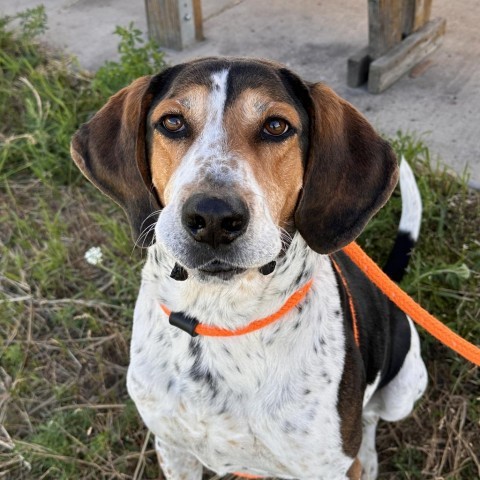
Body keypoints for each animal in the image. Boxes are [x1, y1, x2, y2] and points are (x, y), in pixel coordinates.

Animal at [70, 59, 428, 480]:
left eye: (276, 126)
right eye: (172, 122)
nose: (212, 217)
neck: (220, 319)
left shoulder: (323, 468)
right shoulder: (173, 448)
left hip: (404, 389)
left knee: (371, 419)